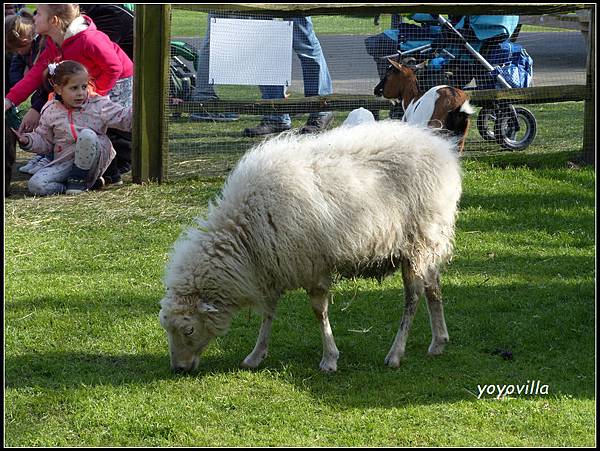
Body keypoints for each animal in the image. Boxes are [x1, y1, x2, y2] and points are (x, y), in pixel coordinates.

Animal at [157, 118, 462, 372]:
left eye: (189, 330)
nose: (178, 369)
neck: (243, 235)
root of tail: (442, 150)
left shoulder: (312, 265)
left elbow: (318, 311)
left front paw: (329, 359)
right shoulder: (272, 264)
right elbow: (268, 313)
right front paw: (256, 355)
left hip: (417, 242)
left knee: (413, 297)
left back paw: (396, 354)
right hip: (430, 240)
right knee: (433, 285)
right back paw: (438, 341)